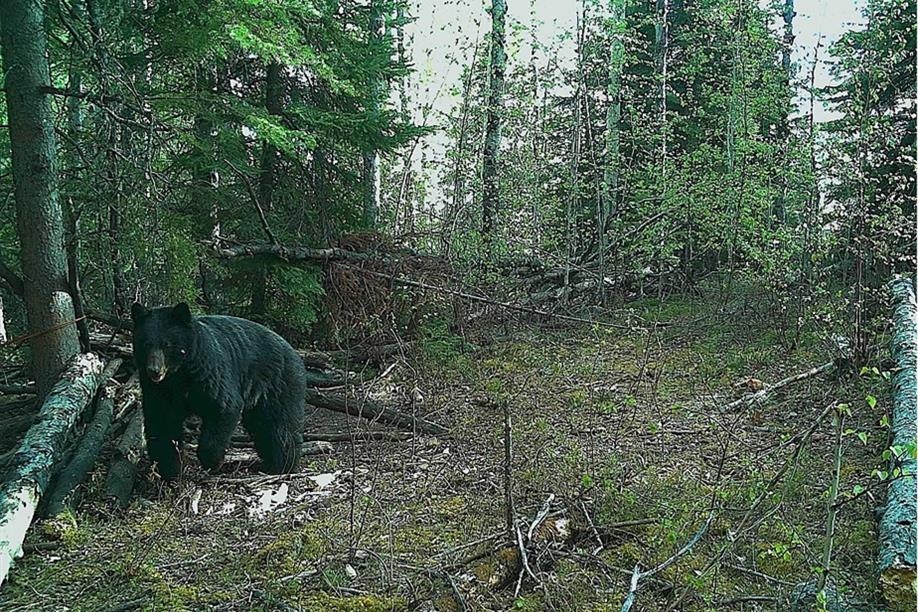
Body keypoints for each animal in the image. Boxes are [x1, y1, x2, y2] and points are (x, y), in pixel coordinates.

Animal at [131, 302, 307, 479]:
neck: (179, 374)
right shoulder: (160, 390)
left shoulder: (209, 372)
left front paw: (212, 462)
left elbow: (223, 406)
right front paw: (169, 470)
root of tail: (293, 351)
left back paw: (283, 465)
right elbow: (162, 422)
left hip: (276, 383)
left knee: (278, 425)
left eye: (167, 345)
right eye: (146, 344)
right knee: (261, 426)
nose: (154, 371)